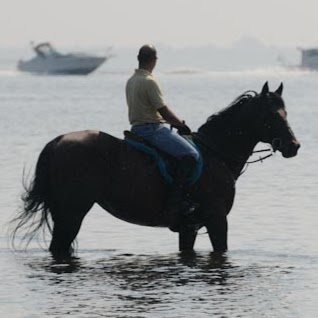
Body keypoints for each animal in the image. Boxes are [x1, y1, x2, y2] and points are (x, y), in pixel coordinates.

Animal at [11, 82, 300, 258]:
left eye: (286, 113)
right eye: (273, 116)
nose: (293, 146)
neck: (216, 153)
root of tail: (58, 141)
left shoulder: (189, 228)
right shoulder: (217, 219)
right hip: (73, 212)